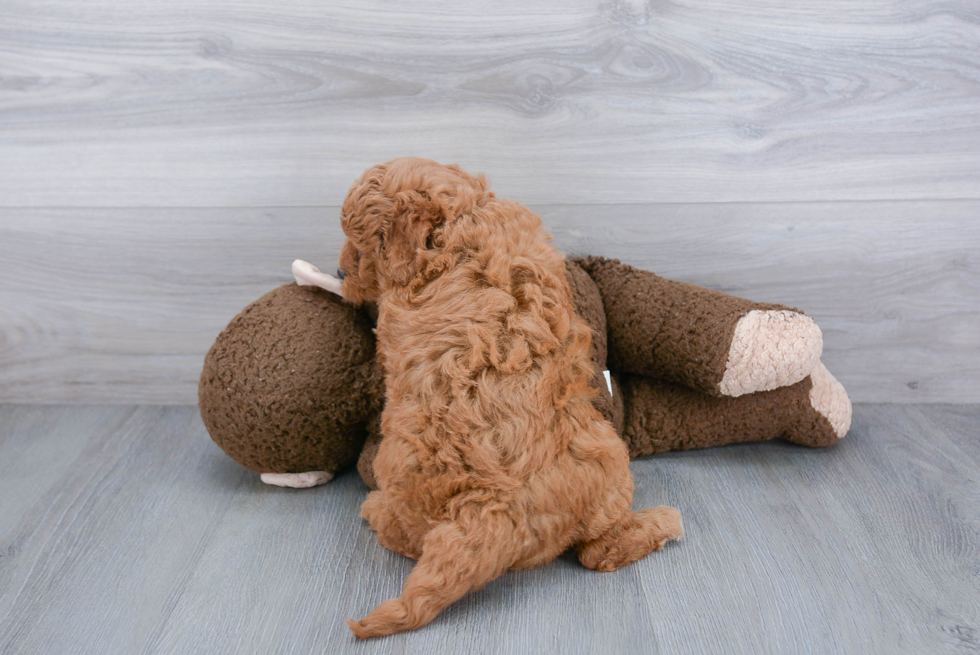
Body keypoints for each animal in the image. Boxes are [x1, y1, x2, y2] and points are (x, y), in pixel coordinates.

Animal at [336, 156, 680, 640]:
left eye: (361, 243)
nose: (340, 272)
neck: (464, 218)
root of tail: (495, 510)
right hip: (611, 458)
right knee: (597, 552)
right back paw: (660, 525)